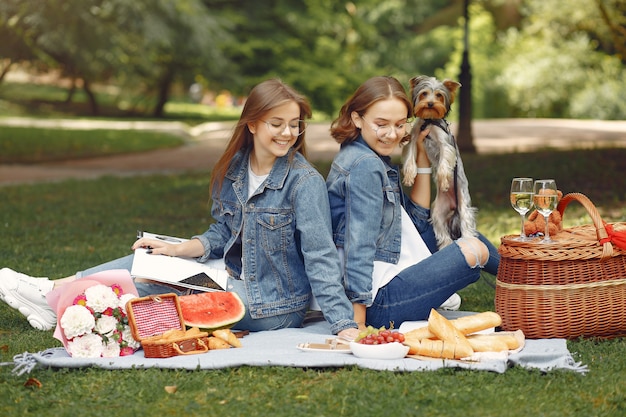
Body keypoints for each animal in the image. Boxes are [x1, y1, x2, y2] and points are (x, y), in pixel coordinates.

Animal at [400, 75, 472, 247]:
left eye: (439, 95)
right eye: (424, 94)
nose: (430, 103)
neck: (429, 120)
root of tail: (453, 206)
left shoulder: (445, 143)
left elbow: (443, 165)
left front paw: (444, 181)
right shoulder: (414, 138)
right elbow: (410, 157)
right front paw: (409, 176)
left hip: (463, 205)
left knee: (466, 222)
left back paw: (468, 239)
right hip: (437, 211)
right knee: (441, 229)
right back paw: (446, 245)